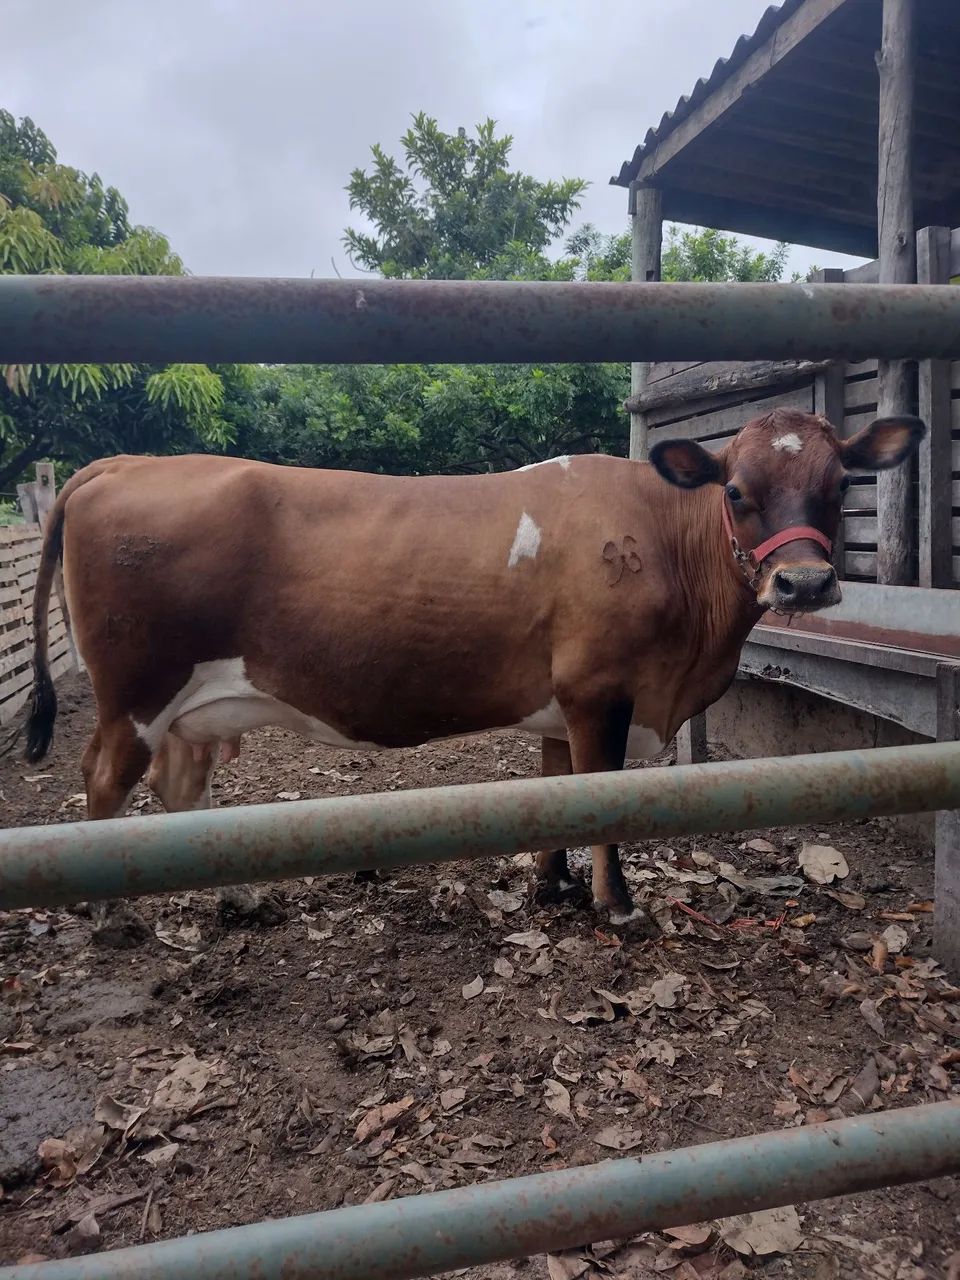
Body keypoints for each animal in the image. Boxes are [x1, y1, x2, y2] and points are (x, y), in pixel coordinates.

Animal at [23, 407, 923, 936]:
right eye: (736, 489)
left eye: (840, 483)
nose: (805, 582)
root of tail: (125, 462)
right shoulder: (602, 692)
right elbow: (601, 801)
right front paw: (617, 905)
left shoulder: (565, 706)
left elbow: (558, 793)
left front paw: (553, 887)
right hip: (136, 695)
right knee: (103, 782)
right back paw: (102, 912)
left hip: (193, 708)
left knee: (180, 791)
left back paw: (236, 896)